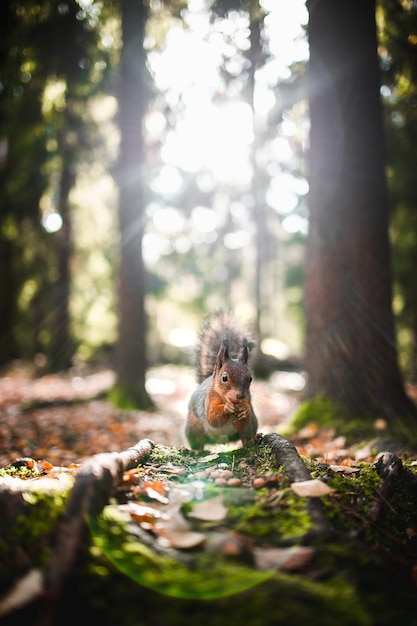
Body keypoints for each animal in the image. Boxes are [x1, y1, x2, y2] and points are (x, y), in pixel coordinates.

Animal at [185, 312, 256, 448]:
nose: (240, 396)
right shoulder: (209, 400)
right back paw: (196, 450)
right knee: (198, 443)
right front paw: (227, 407)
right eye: (224, 378)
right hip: (194, 428)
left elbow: (242, 420)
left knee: (245, 435)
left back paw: (251, 441)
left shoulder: (248, 400)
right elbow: (212, 417)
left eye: (250, 379)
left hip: (251, 426)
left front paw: (245, 410)